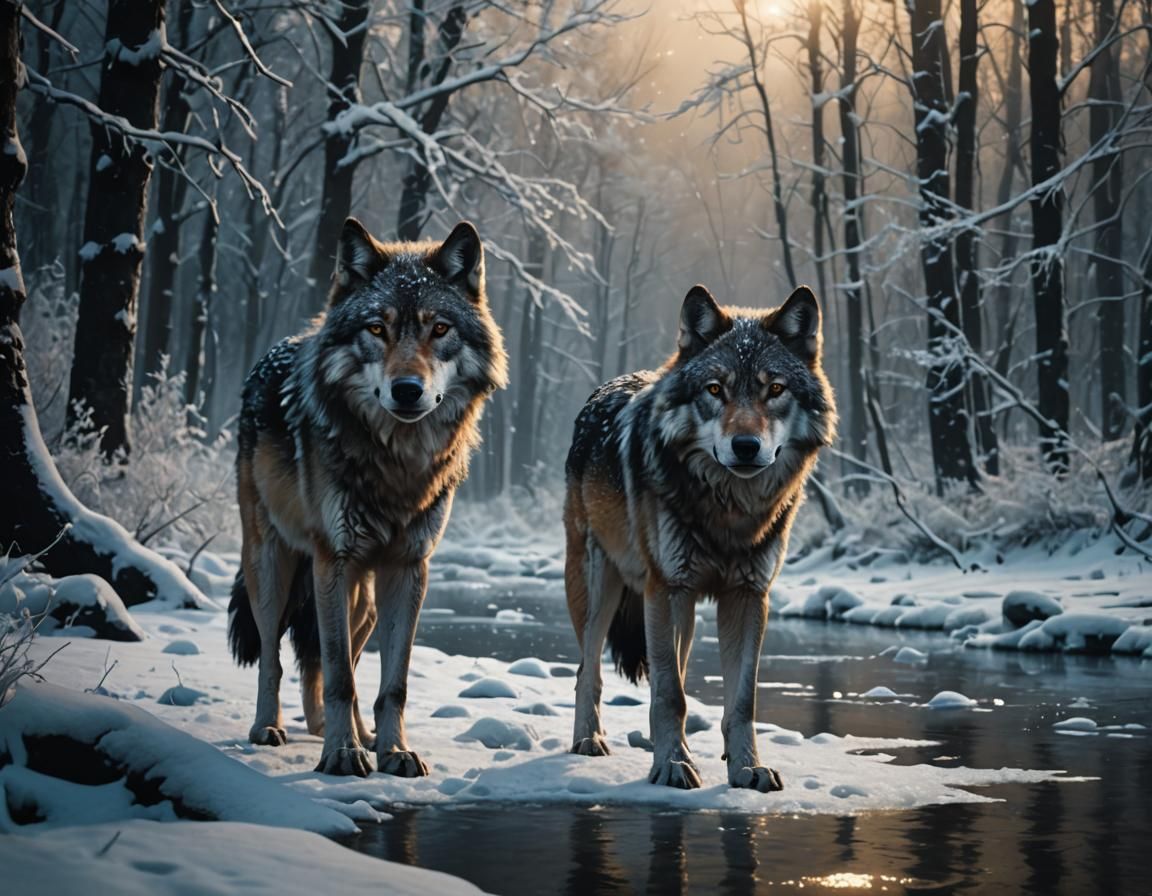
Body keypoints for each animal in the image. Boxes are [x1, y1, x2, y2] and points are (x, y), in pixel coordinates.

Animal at [228, 218, 507, 777]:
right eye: (377, 329)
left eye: (438, 329)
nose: (407, 390)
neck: (398, 464)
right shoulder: (332, 560)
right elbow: (339, 678)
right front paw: (342, 755)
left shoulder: (409, 568)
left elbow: (389, 683)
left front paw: (392, 751)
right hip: (274, 567)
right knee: (275, 655)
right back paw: (271, 728)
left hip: (364, 601)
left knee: (339, 661)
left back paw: (347, 733)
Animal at [564, 284, 836, 791]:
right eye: (715, 389)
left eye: (774, 389)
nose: (746, 446)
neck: (729, 512)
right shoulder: (665, 588)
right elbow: (671, 693)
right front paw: (672, 765)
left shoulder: (748, 595)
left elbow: (740, 700)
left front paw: (746, 767)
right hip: (600, 590)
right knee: (588, 669)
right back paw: (589, 741)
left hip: (682, 615)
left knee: (671, 670)